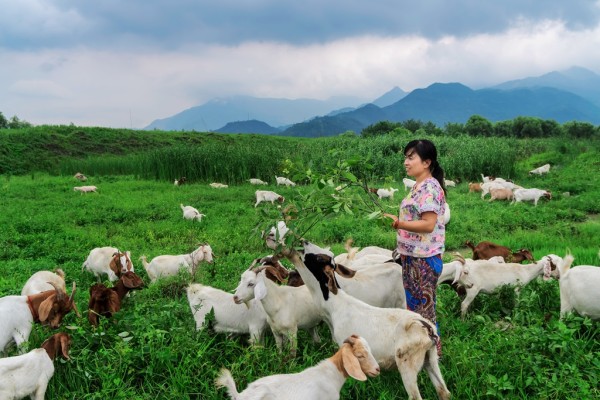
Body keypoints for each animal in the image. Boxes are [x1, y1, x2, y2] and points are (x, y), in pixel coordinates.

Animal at [265, 225, 450, 400]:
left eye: (319, 258)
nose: (303, 242)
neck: (335, 305)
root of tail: (427, 328)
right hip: (430, 359)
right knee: (444, 391)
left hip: (407, 362)